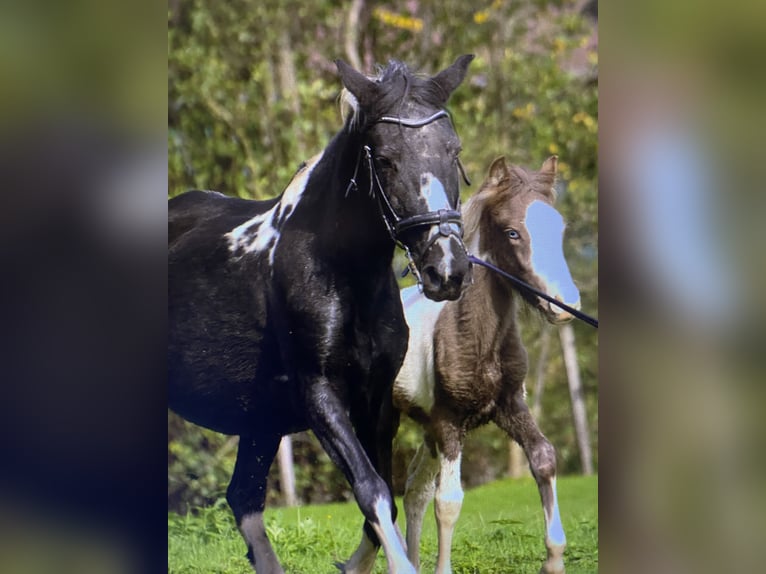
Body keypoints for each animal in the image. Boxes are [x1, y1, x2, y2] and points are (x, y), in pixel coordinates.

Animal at [170, 55, 474, 574]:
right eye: (385, 158)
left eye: (453, 151)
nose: (446, 269)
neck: (341, 273)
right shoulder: (319, 394)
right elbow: (371, 491)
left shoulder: (376, 402)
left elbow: (383, 502)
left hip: (260, 422)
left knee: (243, 498)